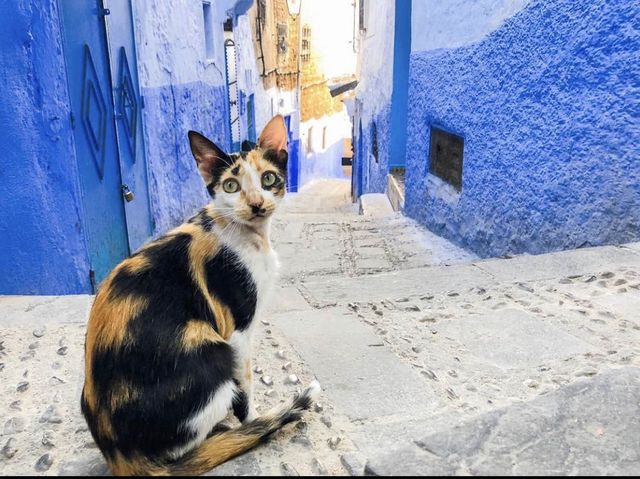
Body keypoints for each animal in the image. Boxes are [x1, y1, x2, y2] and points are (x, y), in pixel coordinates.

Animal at [80, 115, 320, 476]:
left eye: (268, 179)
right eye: (231, 186)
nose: (256, 204)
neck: (244, 233)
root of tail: (121, 457)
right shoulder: (237, 331)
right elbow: (246, 385)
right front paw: (252, 422)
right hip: (212, 352)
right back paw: (224, 435)